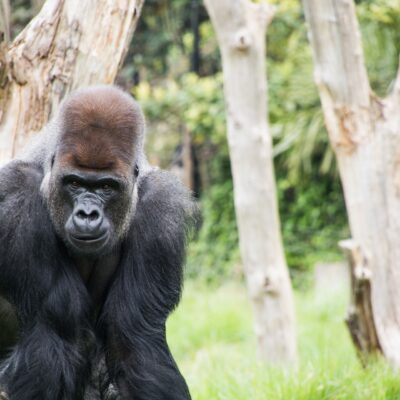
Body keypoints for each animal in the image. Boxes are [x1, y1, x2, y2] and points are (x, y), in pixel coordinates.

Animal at [0, 86, 195, 398]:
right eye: (75, 183)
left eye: (106, 186)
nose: (88, 214)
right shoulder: (18, 198)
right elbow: (53, 332)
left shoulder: (161, 212)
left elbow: (136, 340)